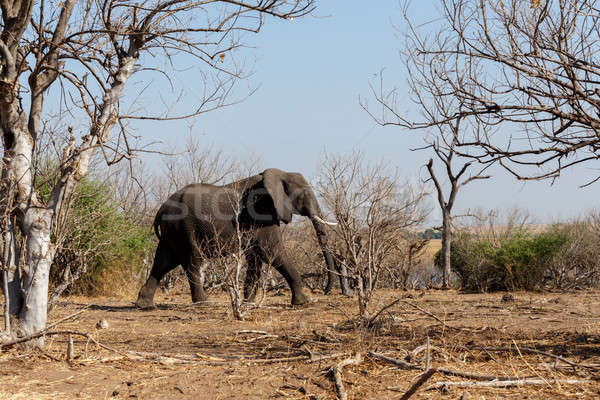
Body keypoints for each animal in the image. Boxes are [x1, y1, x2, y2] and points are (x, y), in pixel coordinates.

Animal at [136, 166, 352, 310]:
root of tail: (161, 208)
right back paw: (204, 303)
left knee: (163, 262)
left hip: (173, 231)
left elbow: (256, 257)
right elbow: (271, 252)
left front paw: (248, 303)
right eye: (304, 195)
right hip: (184, 228)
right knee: (191, 261)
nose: (325, 291)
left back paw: (144, 305)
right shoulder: (262, 212)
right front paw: (303, 302)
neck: (279, 173)